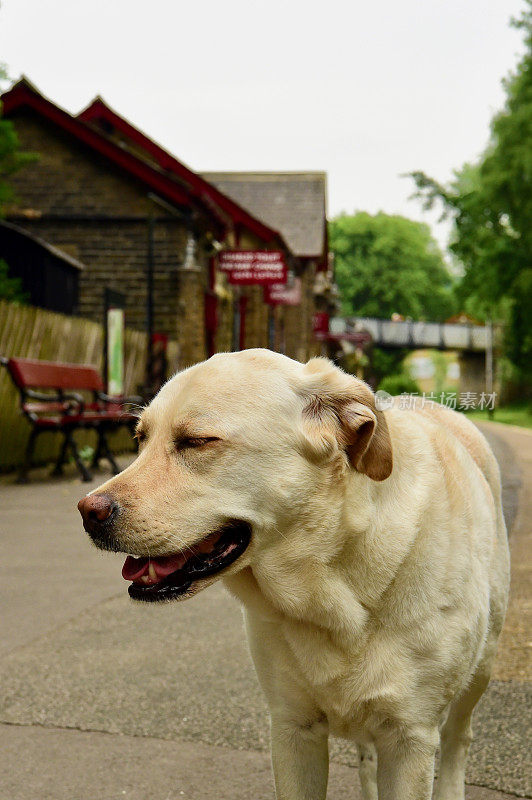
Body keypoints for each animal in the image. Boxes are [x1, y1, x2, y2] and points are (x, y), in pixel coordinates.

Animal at [78, 350, 508, 800]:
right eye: (140, 439)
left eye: (196, 441)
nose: (88, 512)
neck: (338, 592)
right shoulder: (292, 730)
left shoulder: (411, 740)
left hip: (482, 666)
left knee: (460, 737)